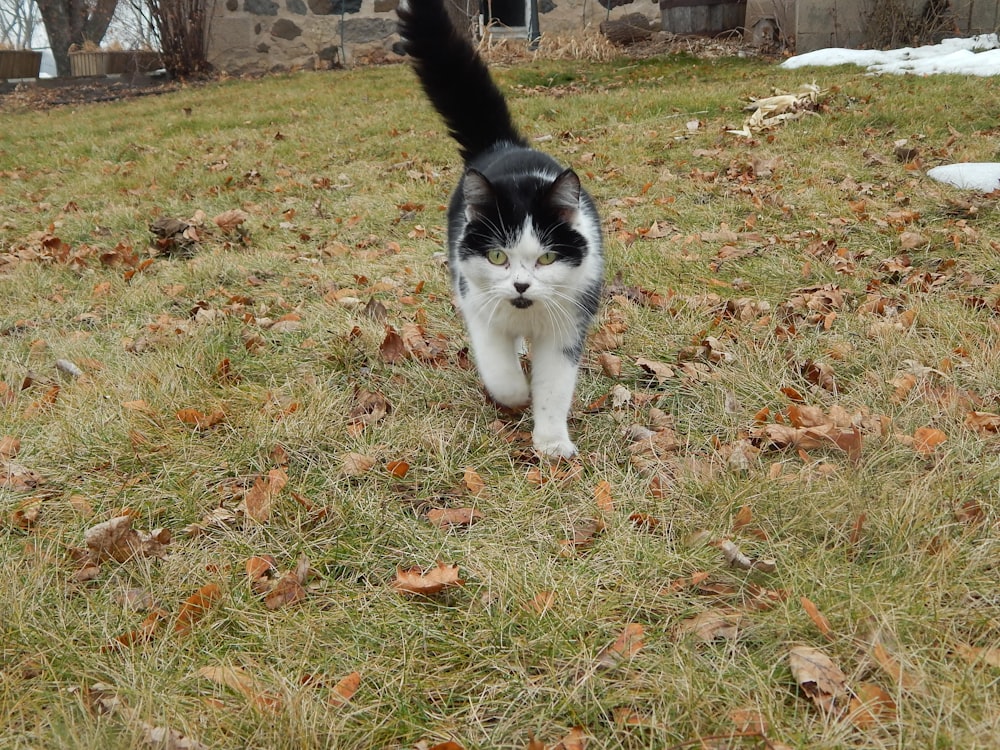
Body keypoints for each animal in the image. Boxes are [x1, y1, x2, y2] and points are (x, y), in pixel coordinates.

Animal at [396, 0, 600, 458]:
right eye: (496, 256)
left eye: (547, 257)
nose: (521, 286)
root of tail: (505, 146)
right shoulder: (479, 308)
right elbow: (500, 370)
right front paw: (517, 395)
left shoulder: (567, 323)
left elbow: (555, 387)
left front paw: (551, 441)